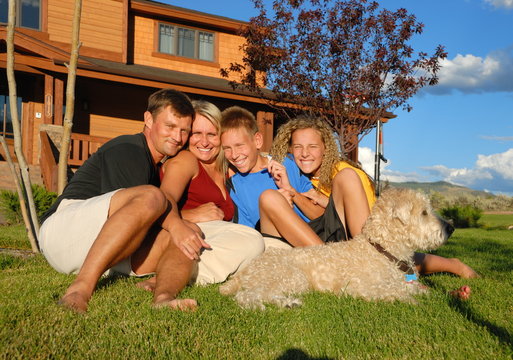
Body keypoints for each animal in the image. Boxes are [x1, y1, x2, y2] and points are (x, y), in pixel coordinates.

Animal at [219, 187, 452, 308]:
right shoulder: (359, 286)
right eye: (424, 212)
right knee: (247, 297)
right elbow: (392, 291)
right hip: (291, 277)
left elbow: (413, 288)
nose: (450, 227)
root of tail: (246, 269)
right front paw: (410, 300)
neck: (381, 249)